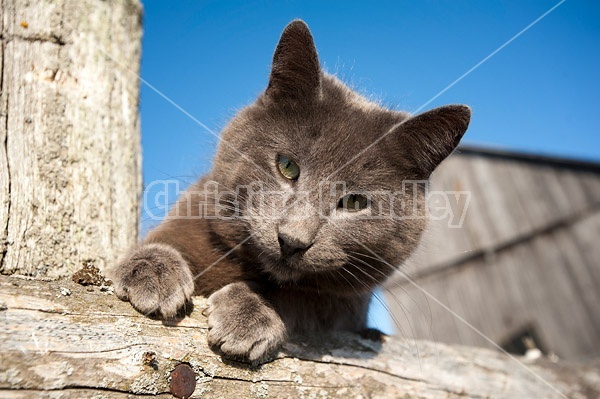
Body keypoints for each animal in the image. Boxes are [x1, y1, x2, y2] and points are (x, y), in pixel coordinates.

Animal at [110, 21, 472, 366]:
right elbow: (162, 243)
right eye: (287, 166)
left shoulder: (344, 309)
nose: (292, 240)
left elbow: (302, 299)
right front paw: (153, 271)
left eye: (354, 201)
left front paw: (249, 314)